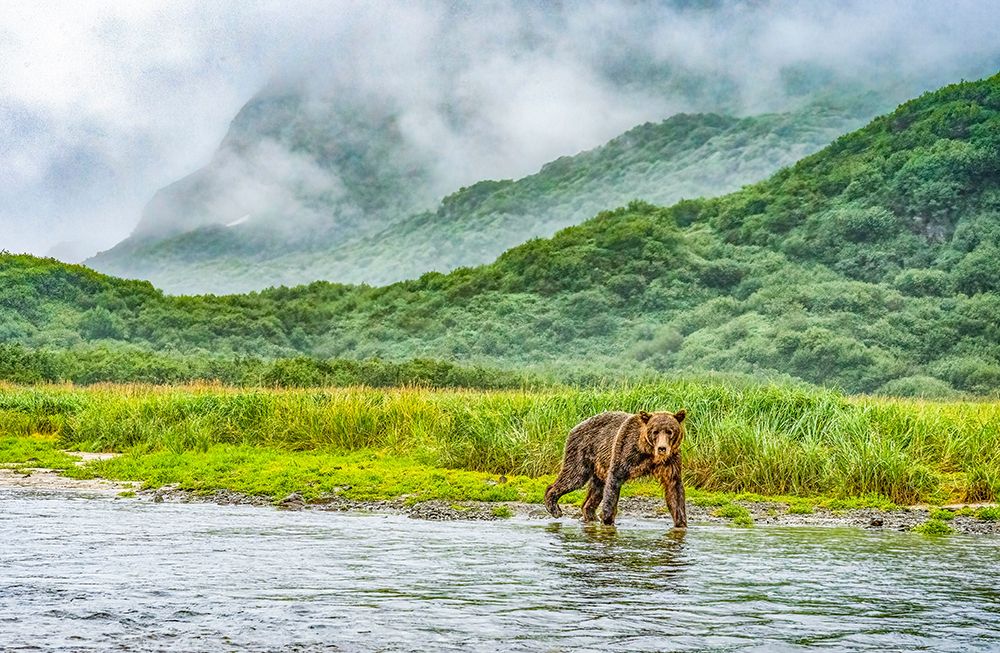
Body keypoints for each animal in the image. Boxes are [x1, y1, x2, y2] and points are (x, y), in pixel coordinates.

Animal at [544, 409, 687, 527]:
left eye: (670, 431)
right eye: (655, 432)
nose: (662, 448)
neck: (648, 452)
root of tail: (575, 426)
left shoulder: (670, 461)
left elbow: (674, 489)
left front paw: (681, 523)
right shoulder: (625, 452)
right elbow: (614, 482)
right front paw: (608, 520)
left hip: (599, 466)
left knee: (596, 490)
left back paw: (591, 516)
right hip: (581, 449)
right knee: (573, 476)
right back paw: (555, 509)